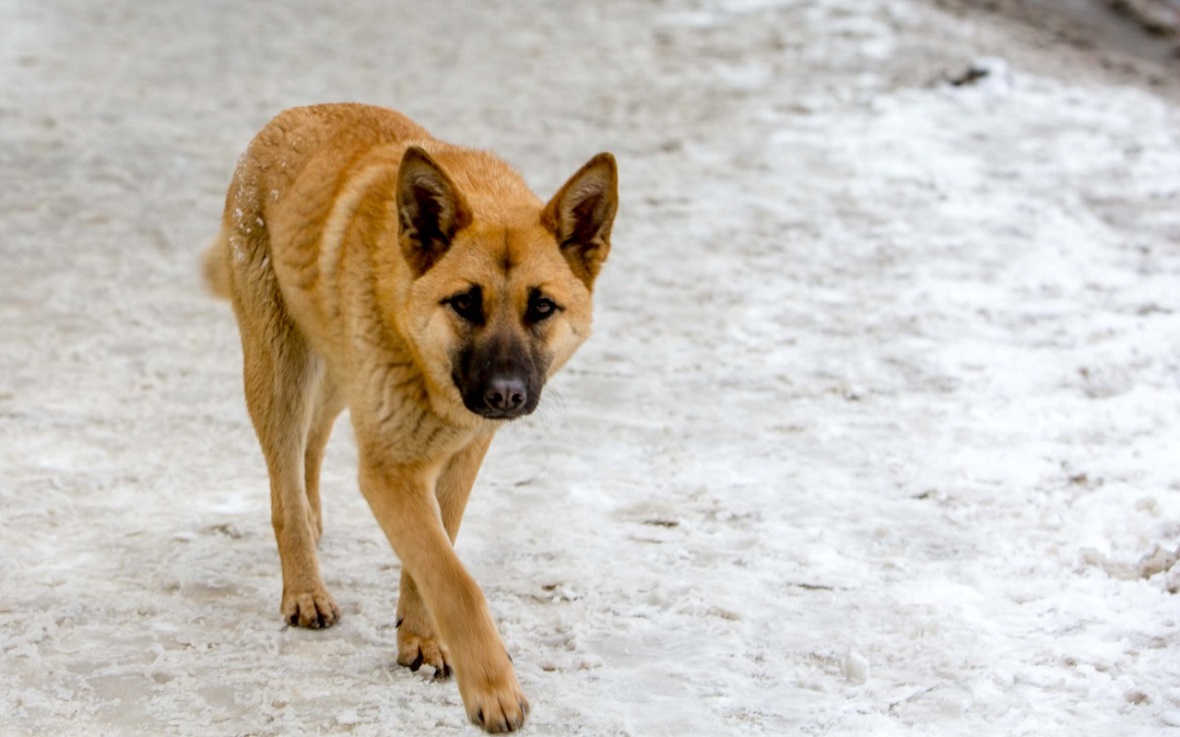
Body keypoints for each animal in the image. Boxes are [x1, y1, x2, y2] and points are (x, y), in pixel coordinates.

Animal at [205, 103, 618, 731]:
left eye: (542, 306)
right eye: (465, 302)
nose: (504, 395)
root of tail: (290, 116)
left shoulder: (461, 455)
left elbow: (437, 548)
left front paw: (421, 637)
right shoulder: (390, 469)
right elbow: (455, 579)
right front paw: (493, 691)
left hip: (335, 373)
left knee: (313, 443)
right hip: (280, 373)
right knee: (284, 489)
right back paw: (304, 588)